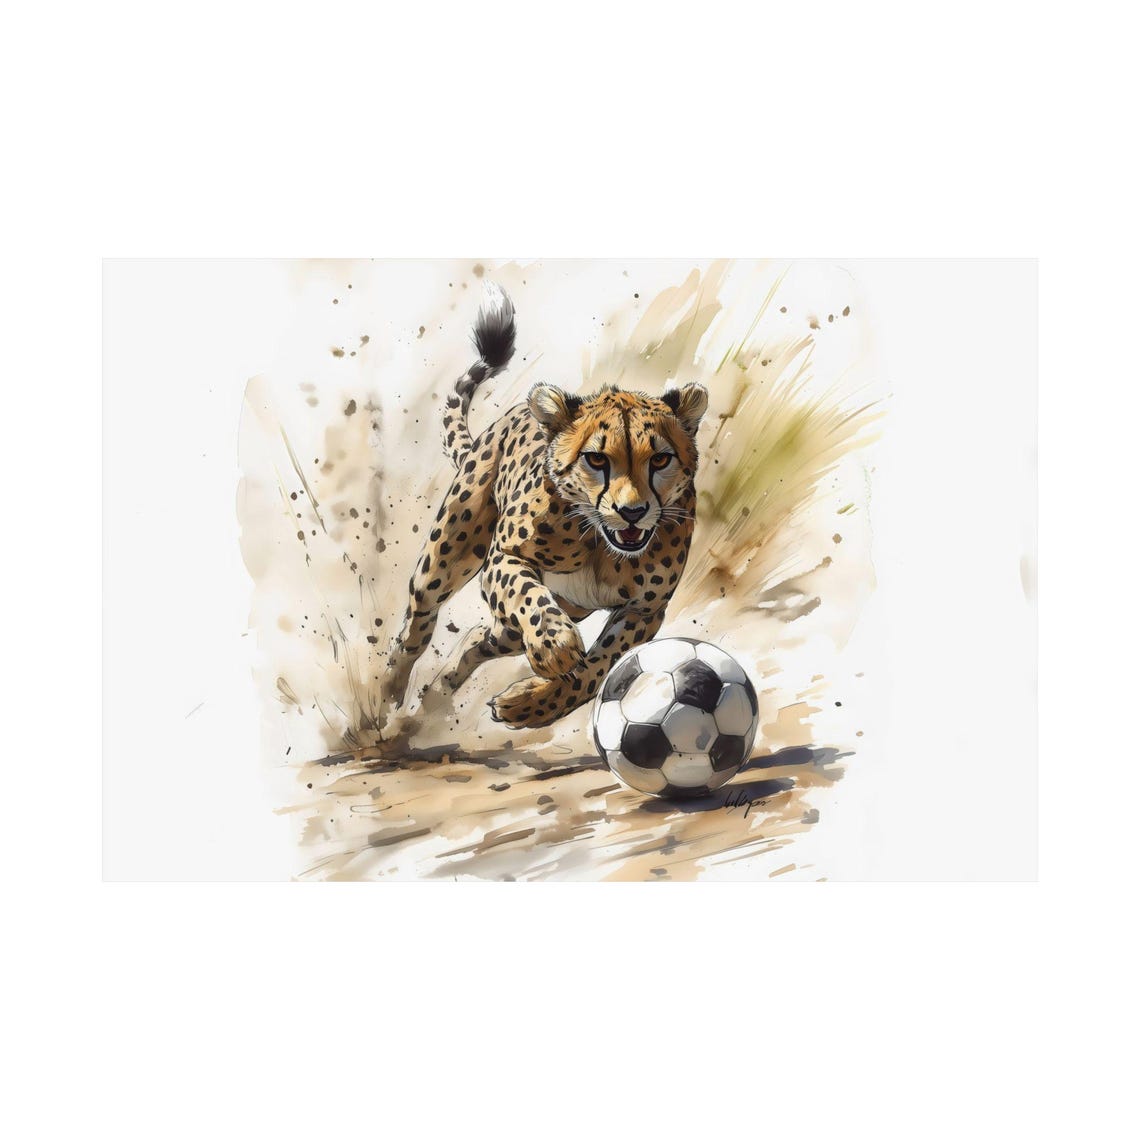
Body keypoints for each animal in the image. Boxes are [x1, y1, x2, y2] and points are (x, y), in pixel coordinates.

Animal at [384, 285, 709, 729]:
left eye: (660, 459)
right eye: (596, 459)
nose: (632, 512)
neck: (600, 545)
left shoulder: (645, 611)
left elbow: (596, 671)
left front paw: (530, 703)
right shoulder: (503, 557)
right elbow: (528, 596)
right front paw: (554, 647)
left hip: (555, 611)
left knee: (478, 639)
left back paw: (435, 698)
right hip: (445, 559)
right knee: (414, 630)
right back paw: (386, 703)